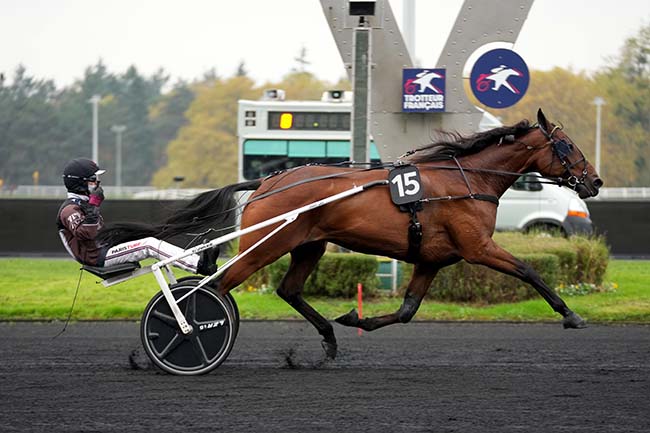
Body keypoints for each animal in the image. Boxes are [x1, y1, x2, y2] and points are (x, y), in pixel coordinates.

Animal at [97, 109, 604, 360]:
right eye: (568, 145)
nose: (595, 181)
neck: (465, 180)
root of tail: (267, 182)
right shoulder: (477, 247)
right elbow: (528, 270)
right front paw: (571, 315)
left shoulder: (431, 259)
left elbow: (406, 311)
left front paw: (354, 318)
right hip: (270, 244)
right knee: (215, 288)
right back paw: (186, 336)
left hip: (308, 245)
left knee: (287, 290)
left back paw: (328, 337)